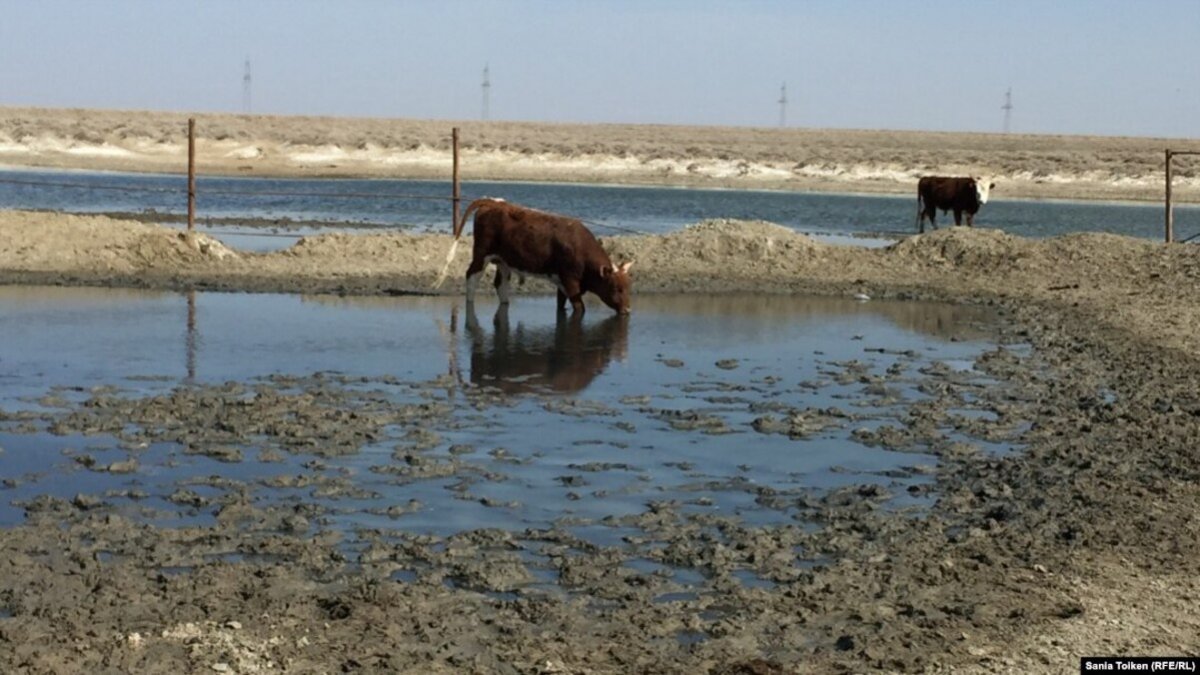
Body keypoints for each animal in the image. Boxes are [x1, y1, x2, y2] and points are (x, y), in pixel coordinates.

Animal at [434, 195, 638, 314]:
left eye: (629, 287)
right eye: (616, 288)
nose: (628, 309)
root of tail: (492, 201)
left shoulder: (561, 281)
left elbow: (560, 304)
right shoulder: (570, 280)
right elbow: (580, 308)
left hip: (503, 260)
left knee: (500, 283)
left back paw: (505, 303)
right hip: (481, 254)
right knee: (472, 276)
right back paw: (470, 302)